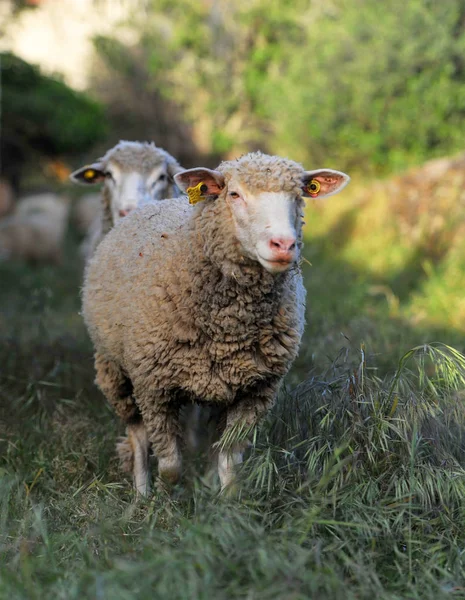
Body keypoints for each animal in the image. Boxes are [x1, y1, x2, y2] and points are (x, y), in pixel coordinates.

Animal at [81, 152, 348, 494]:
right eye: (234, 194)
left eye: (299, 196)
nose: (283, 245)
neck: (228, 327)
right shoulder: (153, 388)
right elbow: (170, 464)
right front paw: (166, 496)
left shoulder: (255, 391)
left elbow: (229, 461)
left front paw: (225, 501)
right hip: (115, 370)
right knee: (137, 435)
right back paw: (141, 492)